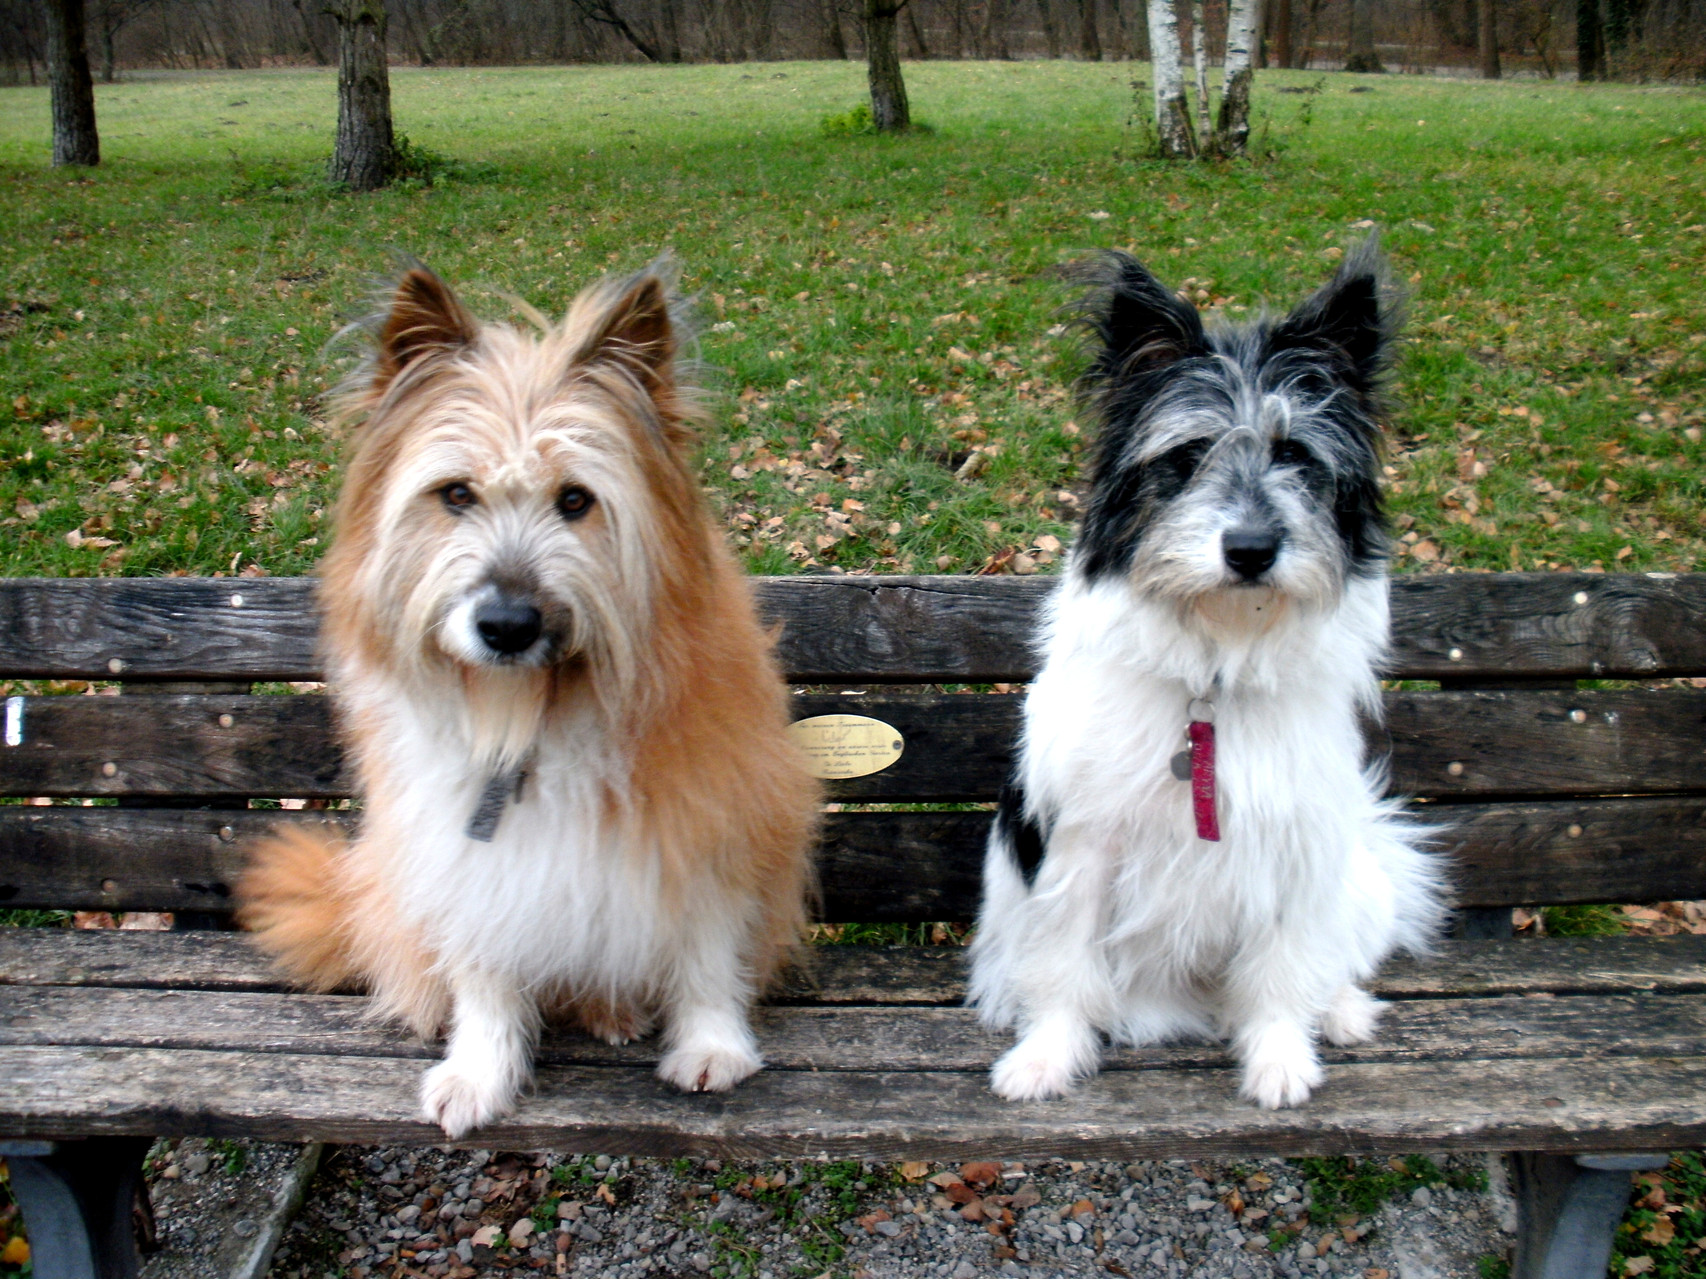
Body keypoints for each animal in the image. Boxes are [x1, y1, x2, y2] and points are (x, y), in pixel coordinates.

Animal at [238, 262, 818, 1139]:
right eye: (456, 495)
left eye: (575, 500)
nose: (508, 624)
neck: (531, 715)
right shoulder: (465, 851)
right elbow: (485, 966)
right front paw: (481, 1069)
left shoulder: (718, 813)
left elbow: (706, 945)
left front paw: (712, 1041)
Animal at [969, 240, 1446, 1111]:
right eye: (1188, 456)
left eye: (1296, 455)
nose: (1251, 548)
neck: (1213, 676)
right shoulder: (1080, 847)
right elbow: (1063, 963)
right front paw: (1048, 1054)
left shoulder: (1294, 847)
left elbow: (1282, 971)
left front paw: (1279, 1056)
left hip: (1353, 871)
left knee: (1333, 958)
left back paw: (1342, 1008)